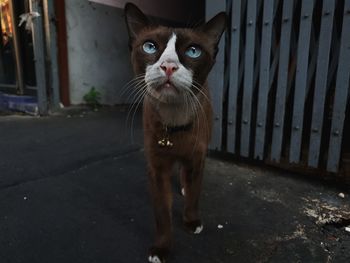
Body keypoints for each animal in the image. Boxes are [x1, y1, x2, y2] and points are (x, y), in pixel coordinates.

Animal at [124, 3, 226, 262]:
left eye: (193, 51)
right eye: (150, 46)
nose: (168, 66)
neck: (174, 120)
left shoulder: (197, 157)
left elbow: (194, 194)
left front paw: (192, 222)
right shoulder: (157, 167)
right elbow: (162, 213)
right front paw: (161, 249)